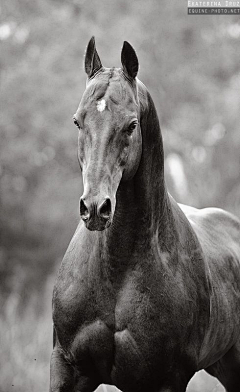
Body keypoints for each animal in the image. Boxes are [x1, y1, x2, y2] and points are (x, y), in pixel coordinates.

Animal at [49, 37, 240, 392]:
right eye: (78, 121)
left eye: (131, 125)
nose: (95, 208)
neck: (117, 269)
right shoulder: (68, 367)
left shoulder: (164, 379)